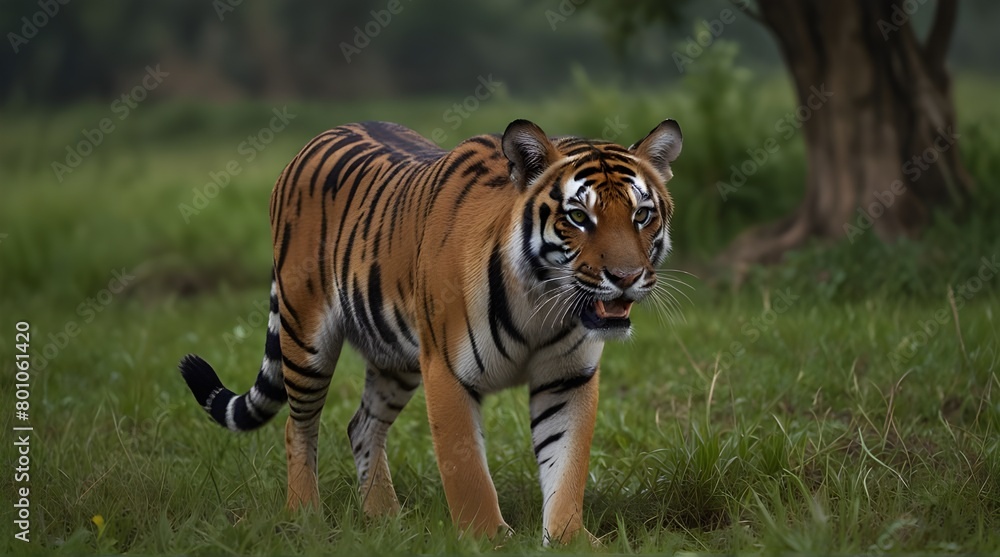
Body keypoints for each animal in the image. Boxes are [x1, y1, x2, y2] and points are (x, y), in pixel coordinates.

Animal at [178, 117, 682, 545]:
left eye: (641, 216)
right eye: (579, 217)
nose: (625, 277)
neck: (540, 302)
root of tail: (319, 136)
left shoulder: (567, 378)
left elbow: (567, 464)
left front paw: (569, 540)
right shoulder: (447, 371)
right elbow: (468, 472)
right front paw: (487, 540)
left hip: (395, 358)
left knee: (362, 424)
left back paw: (385, 519)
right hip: (306, 335)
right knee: (298, 425)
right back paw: (305, 515)